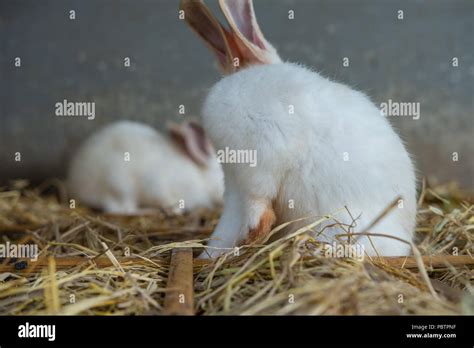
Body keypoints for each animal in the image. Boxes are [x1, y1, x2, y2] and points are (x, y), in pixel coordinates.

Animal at [67, 120, 225, 215]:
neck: (200, 176)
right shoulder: (157, 185)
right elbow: (165, 199)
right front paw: (174, 210)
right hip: (119, 186)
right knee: (122, 209)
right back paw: (149, 211)